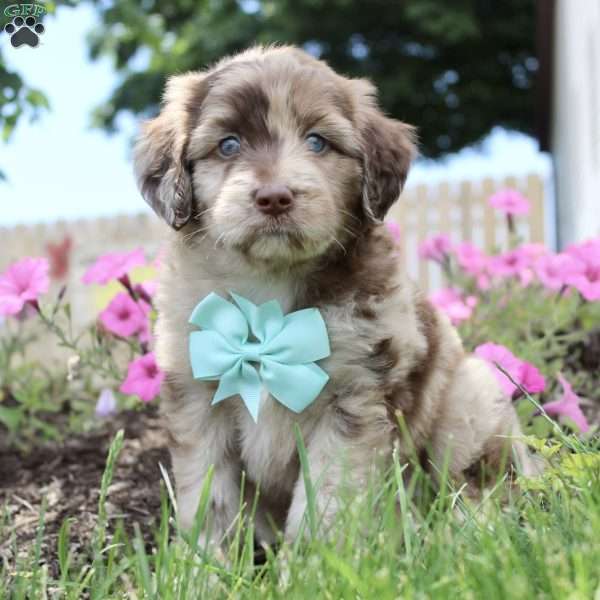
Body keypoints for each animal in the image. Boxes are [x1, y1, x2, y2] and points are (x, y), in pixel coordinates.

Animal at [134, 45, 536, 544]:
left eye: (317, 142)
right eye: (228, 145)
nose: (275, 197)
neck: (268, 290)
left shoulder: (354, 396)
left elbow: (326, 498)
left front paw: (313, 560)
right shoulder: (197, 393)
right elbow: (210, 496)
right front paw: (209, 560)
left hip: (471, 398)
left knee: (476, 483)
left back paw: (463, 532)